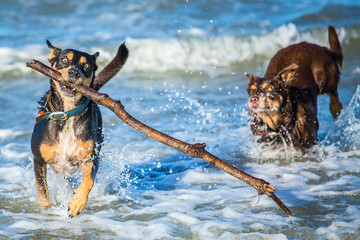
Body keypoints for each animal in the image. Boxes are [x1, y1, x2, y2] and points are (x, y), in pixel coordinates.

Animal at [31, 40, 129, 217]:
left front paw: (77, 202)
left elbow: (88, 180)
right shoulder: (38, 160)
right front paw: (45, 208)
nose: (74, 73)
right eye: (64, 60)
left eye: (86, 65)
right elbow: (42, 191)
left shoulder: (90, 158)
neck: (67, 114)